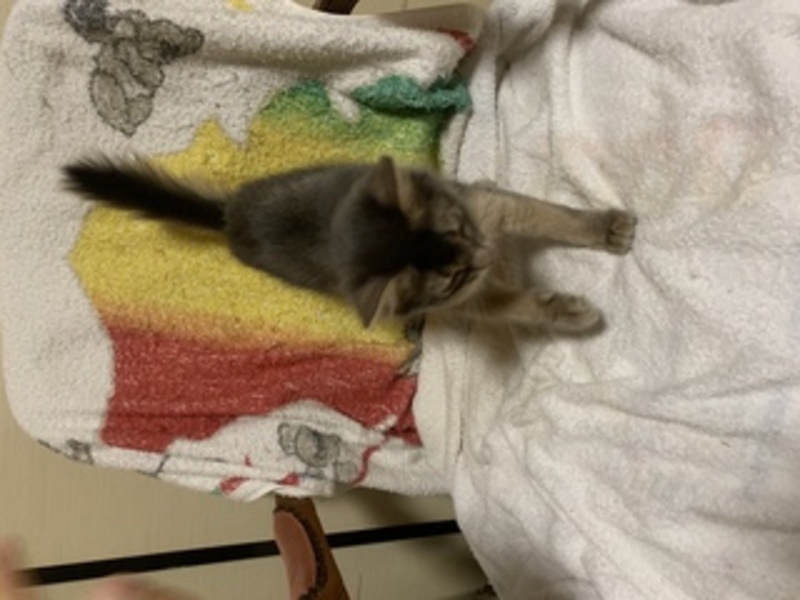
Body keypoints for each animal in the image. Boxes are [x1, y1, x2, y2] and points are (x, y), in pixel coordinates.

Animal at [62, 155, 636, 330]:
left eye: (457, 228)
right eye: (453, 275)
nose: (488, 256)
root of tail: (229, 217)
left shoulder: (490, 211)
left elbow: (553, 216)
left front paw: (606, 228)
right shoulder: (463, 302)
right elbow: (513, 306)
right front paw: (567, 311)